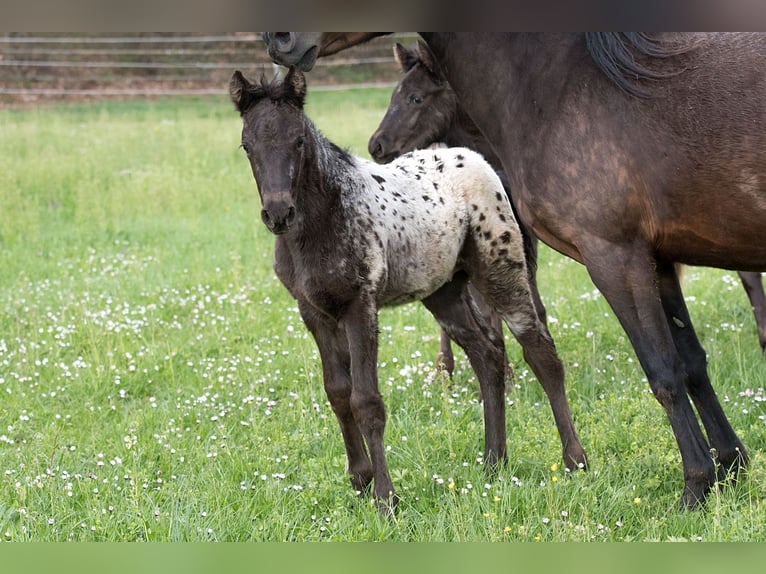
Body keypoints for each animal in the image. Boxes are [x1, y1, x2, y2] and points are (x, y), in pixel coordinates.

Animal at [231, 67, 584, 512]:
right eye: (247, 145)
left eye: (298, 140)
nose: (278, 213)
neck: (324, 216)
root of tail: (481, 162)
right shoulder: (313, 311)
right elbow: (337, 392)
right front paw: (359, 480)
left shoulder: (359, 305)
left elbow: (366, 400)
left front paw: (386, 498)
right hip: (443, 292)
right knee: (487, 357)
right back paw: (494, 461)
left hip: (500, 269)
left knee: (540, 352)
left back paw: (574, 459)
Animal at [264, 32, 766, 508]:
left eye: (416, 98)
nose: (377, 146)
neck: (557, 87)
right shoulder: (654, 257)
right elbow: (692, 362)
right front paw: (730, 464)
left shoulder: (614, 256)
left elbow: (663, 370)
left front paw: (696, 484)